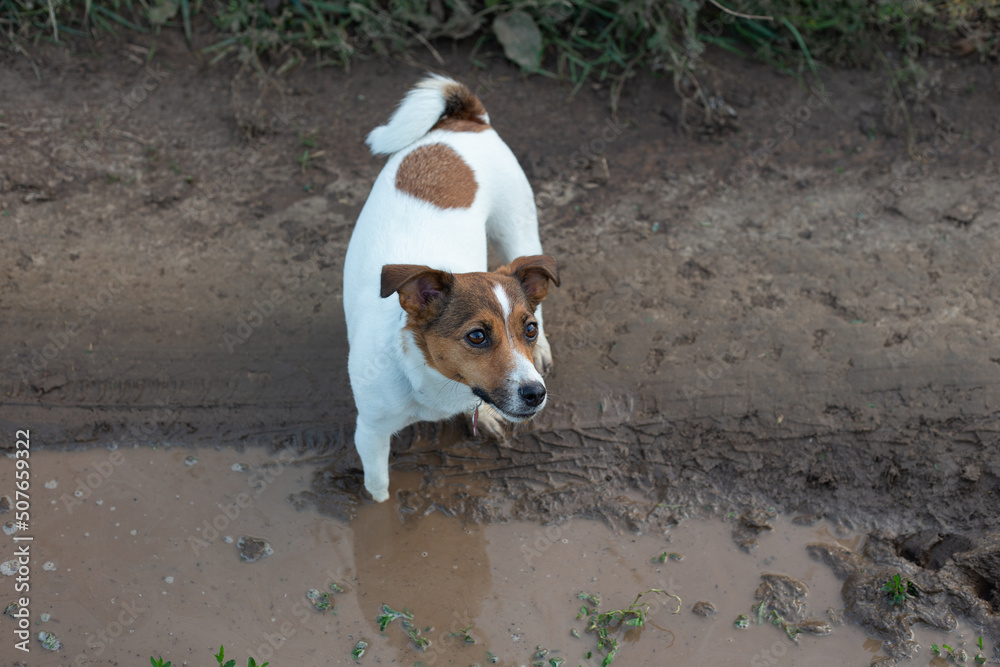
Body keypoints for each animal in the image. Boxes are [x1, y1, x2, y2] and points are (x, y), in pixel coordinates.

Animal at [344, 74, 560, 500]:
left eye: (528, 330)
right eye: (477, 336)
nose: (535, 393)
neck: (430, 380)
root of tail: (464, 121)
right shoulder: (370, 434)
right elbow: (379, 489)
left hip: (518, 231)